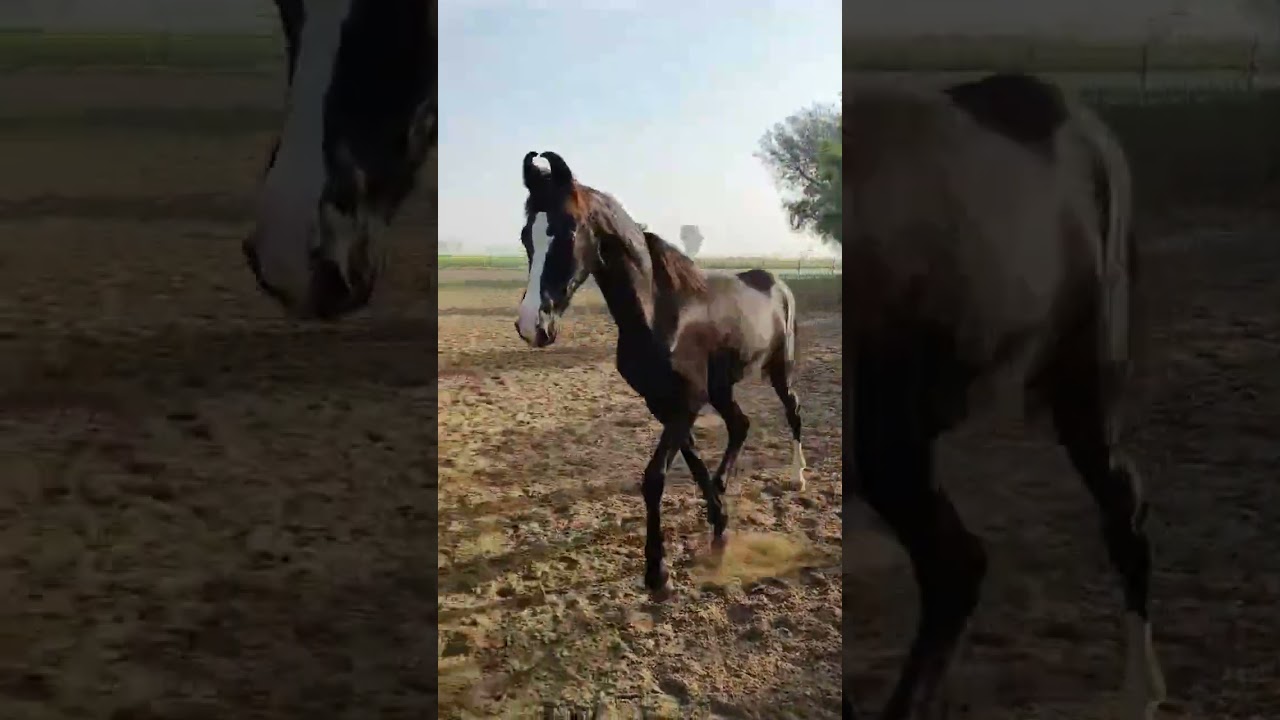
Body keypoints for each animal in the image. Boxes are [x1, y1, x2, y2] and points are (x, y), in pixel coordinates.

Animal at [514, 150, 807, 596]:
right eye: (525, 236)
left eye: (567, 231)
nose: (533, 325)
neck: (660, 313)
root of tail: (778, 282)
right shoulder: (663, 403)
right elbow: (694, 464)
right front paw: (719, 526)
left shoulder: (687, 402)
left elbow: (654, 478)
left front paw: (657, 571)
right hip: (722, 388)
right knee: (740, 425)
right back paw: (726, 488)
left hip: (778, 368)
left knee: (792, 411)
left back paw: (797, 477)